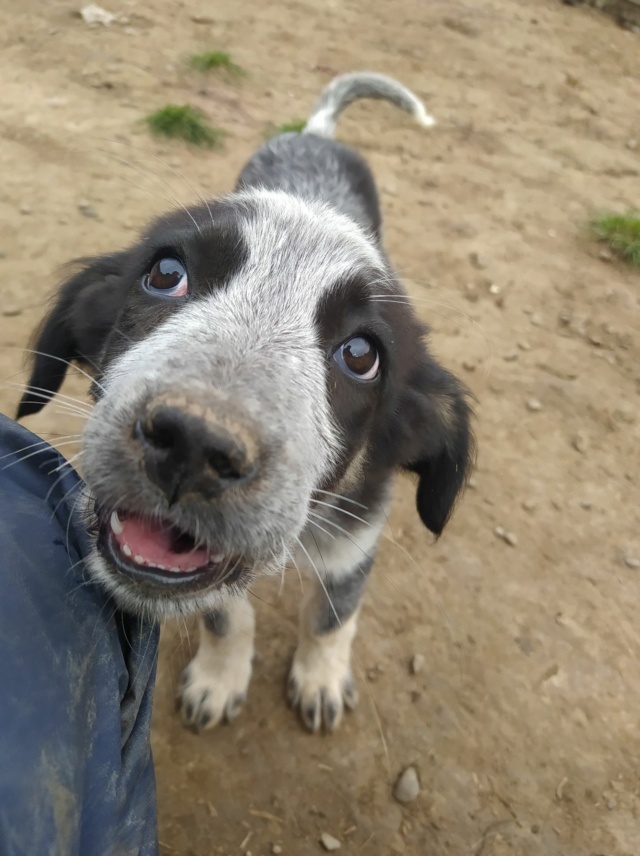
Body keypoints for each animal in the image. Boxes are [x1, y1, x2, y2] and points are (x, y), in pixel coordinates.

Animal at [18, 72, 476, 728]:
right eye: (165, 273)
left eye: (362, 355)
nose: (193, 443)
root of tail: (314, 133)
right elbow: (226, 614)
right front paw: (219, 678)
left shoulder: (354, 542)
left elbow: (330, 618)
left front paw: (320, 678)